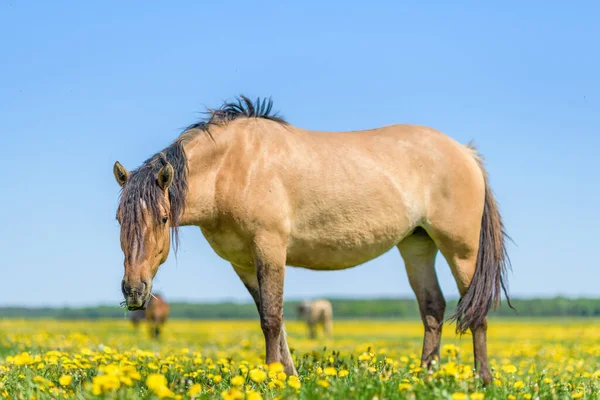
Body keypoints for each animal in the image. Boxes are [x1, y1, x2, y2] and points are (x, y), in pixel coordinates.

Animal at [112, 94, 510, 384]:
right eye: (118, 219)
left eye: (164, 218)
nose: (134, 291)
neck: (234, 167)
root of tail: (464, 153)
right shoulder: (244, 263)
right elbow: (276, 321)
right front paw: (289, 378)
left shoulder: (270, 249)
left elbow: (271, 319)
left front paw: (272, 379)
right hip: (417, 245)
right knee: (432, 307)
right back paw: (425, 377)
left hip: (461, 249)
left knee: (475, 310)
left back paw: (483, 380)